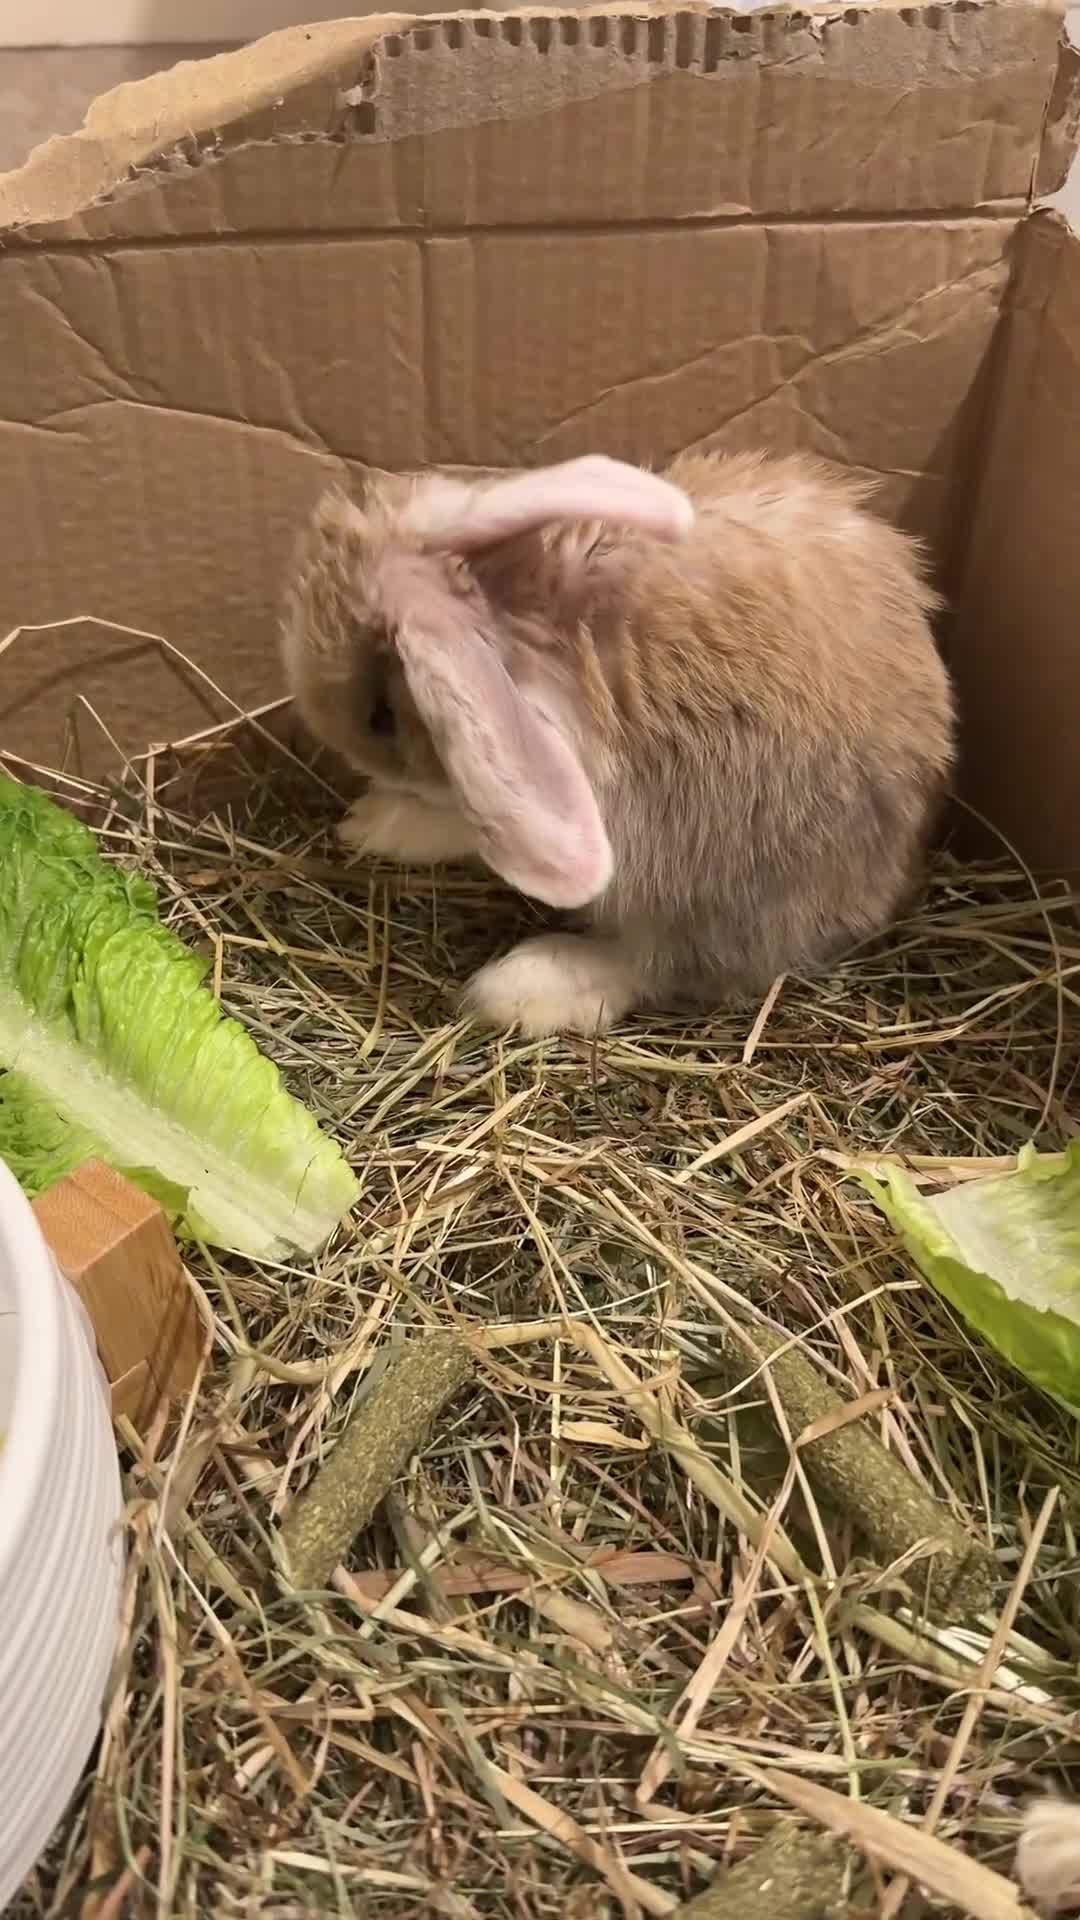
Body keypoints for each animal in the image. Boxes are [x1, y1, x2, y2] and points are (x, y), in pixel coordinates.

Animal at [281, 450, 955, 1038]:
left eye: (381, 715)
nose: (317, 721)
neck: (524, 613)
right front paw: (366, 823)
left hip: (711, 883)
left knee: (664, 963)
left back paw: (515, 989)